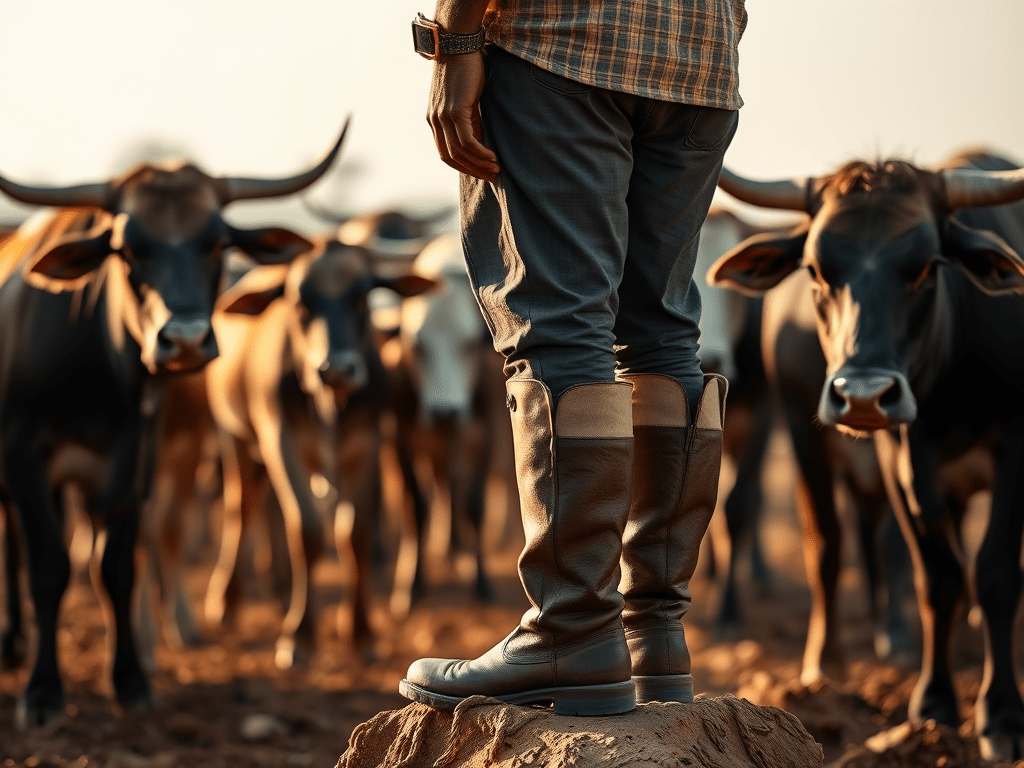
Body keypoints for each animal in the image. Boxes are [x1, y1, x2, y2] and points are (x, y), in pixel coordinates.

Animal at [0, 122, 347, 727]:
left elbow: (114, 568)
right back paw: (13, 644)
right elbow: (48, 569)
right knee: (14, 548)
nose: (184, 339)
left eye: (216, 243)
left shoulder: (133, 467)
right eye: (129, 249)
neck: (96, 384)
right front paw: (42, 692)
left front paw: (130, 680)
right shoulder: (24, 461)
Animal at [203, 237, 435, 669]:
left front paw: (361, 635)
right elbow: (307, 531)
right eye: (299, 301)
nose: (337, 368)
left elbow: (354, 533)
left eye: (362, 296)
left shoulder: (368, 445)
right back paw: (227, 601)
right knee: (241, 508)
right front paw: (299, 637)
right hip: (234, 436)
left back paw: (278, 590)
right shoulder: (282, 442)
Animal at [382, 232, 512, 617]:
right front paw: (411, 585)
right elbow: (416, 505)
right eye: (416, 345)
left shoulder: (487, 432)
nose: (445, 411)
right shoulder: (401, 436)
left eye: (468, 344)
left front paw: (481, 582)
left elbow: (473, 503)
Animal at [708, 150, 1024, 760]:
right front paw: (933, 704)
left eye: (928, 267)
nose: (860, 394)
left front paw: (999, 717)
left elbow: (995, 574)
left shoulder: (1017, 449)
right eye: (815, 270)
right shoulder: (899, 460)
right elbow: (932, 575)